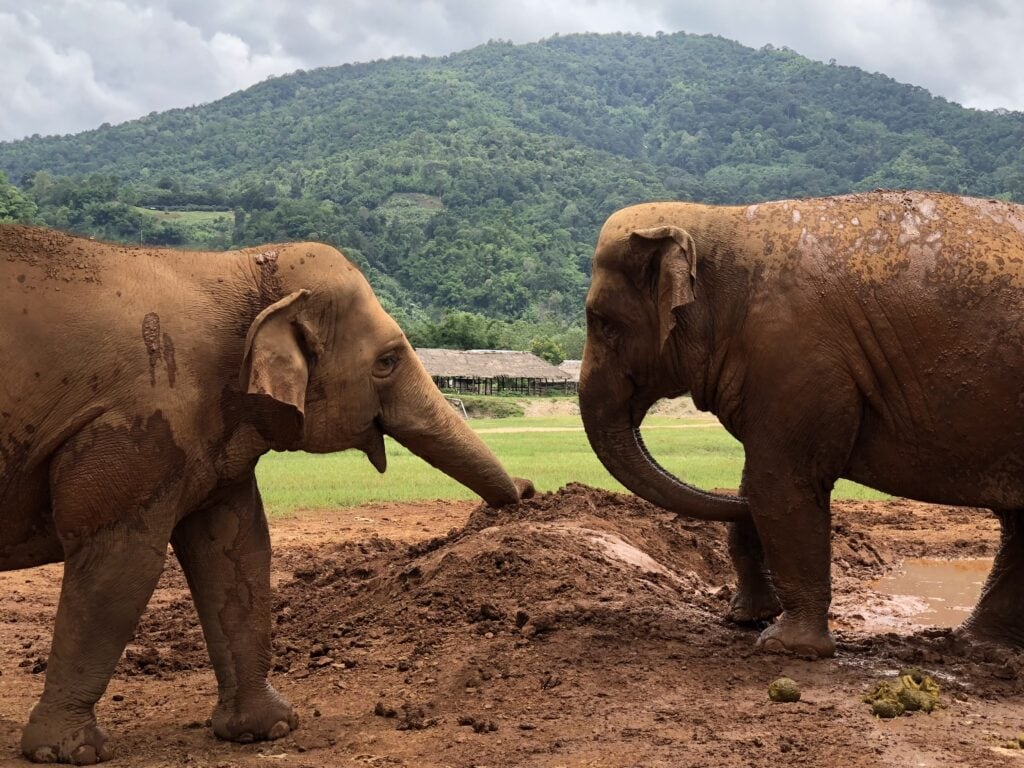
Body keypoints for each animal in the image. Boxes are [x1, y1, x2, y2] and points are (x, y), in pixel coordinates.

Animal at [0, 225, 533, 764]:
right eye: (386, 362)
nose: (528, 490)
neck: (238, 267)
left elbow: (237, 550)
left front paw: (267, 730)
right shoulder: (137, 426)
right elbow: (122, 559)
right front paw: (69, 752)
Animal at [579, 190, 1024, 659]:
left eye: (603, 323)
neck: (720, 222)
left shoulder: (792, 354)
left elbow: (779, 484)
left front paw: (786, 647)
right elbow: (757, 484)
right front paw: (747, 618)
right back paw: (976, 644)